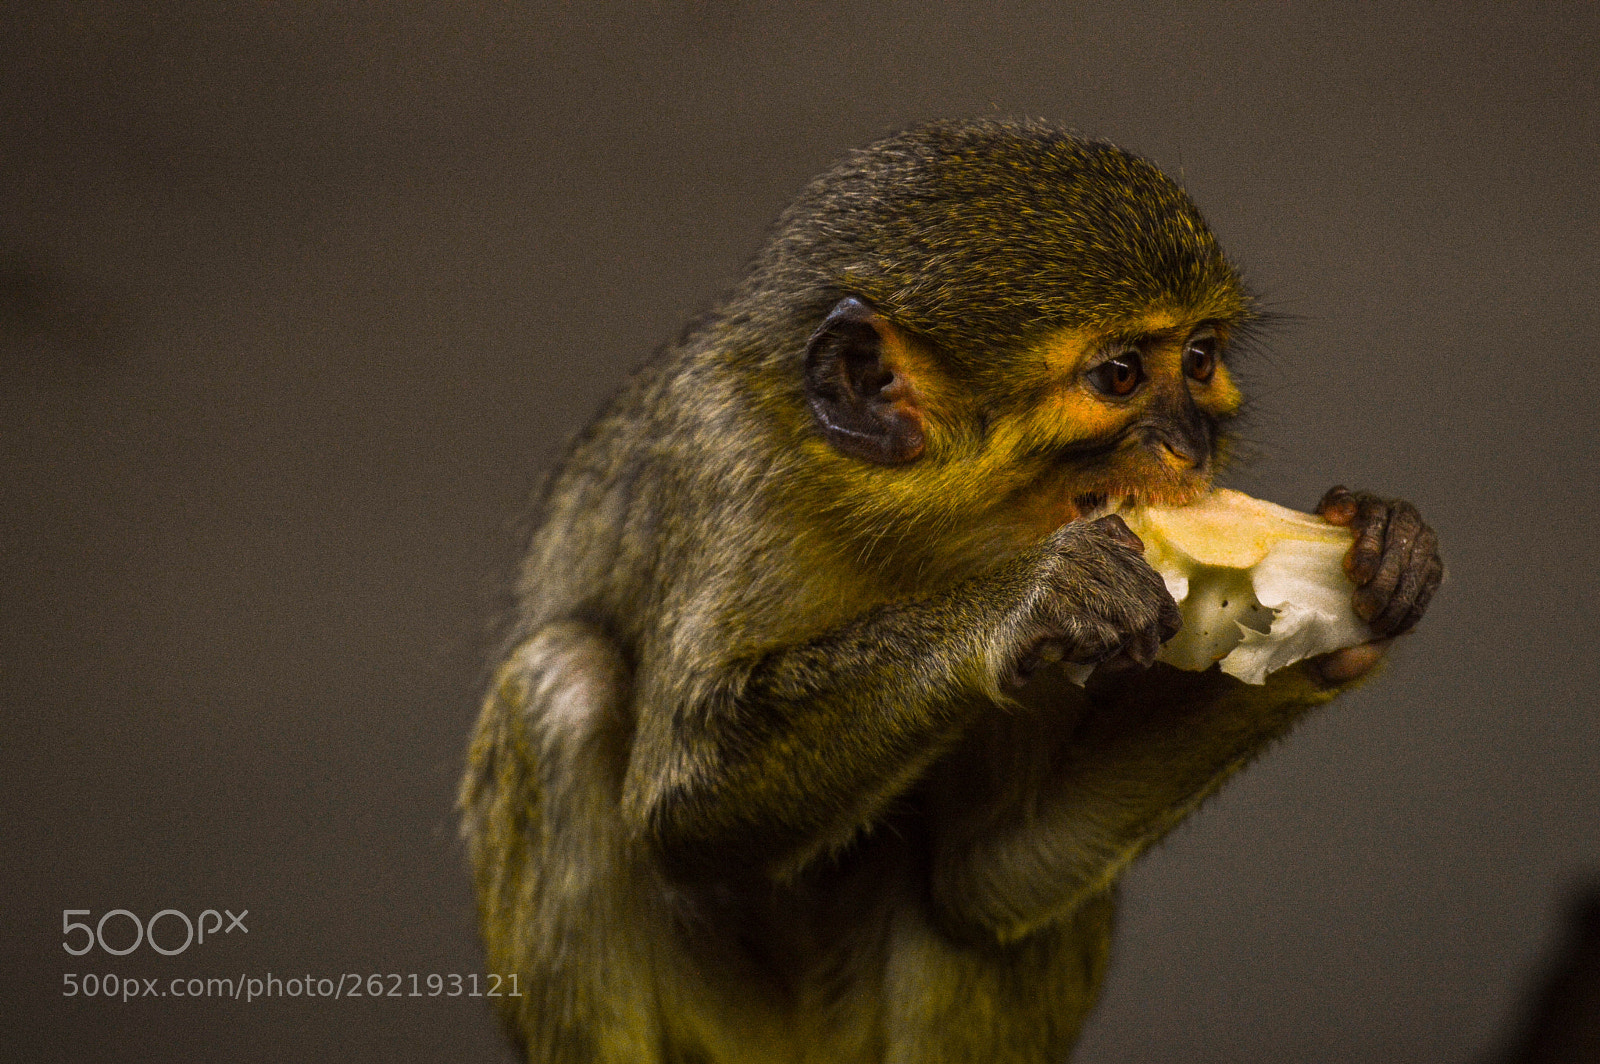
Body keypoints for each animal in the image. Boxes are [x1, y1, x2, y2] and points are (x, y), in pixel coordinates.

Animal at [459, 118, 1443, 1064]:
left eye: (1200, 360)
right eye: (1121, 375)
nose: (1191, 445)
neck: (909, 514)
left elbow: (985, 878)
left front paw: (1371, 567)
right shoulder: (726, 471)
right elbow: (680, 806)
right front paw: (1028, 600)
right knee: (563, 681)